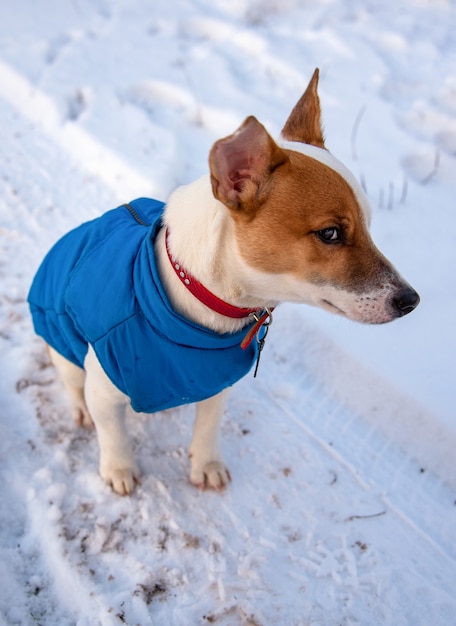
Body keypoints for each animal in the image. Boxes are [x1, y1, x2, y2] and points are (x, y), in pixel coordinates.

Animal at [28, 69, 420, 492]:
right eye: (330, 233)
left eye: (368, 225)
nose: (411, 300)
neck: (206, 297)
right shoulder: (105, 385)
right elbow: (112, 430)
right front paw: (118, 468)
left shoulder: (216, 382)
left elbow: (208, 424)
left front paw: (207, 462)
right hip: (63, 349)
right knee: (72, 383)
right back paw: (80, 409)